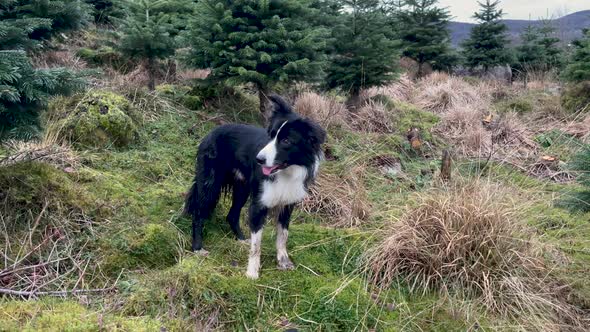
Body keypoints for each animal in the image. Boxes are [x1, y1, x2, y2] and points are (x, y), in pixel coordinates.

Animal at [185, 94, 326, 278]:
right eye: (271, 136)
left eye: (286, 141)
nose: (258, 160)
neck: (286, 171)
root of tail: (211, 132)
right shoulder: (259, 205)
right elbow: (257, 244)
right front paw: (252, 272)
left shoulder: (287, 205)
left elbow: (283, 235)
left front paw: (283, 261)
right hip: (210, 183)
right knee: (198, 212)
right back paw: (197, 248)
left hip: (242, 188)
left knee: (232, 215)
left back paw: (241, 239)